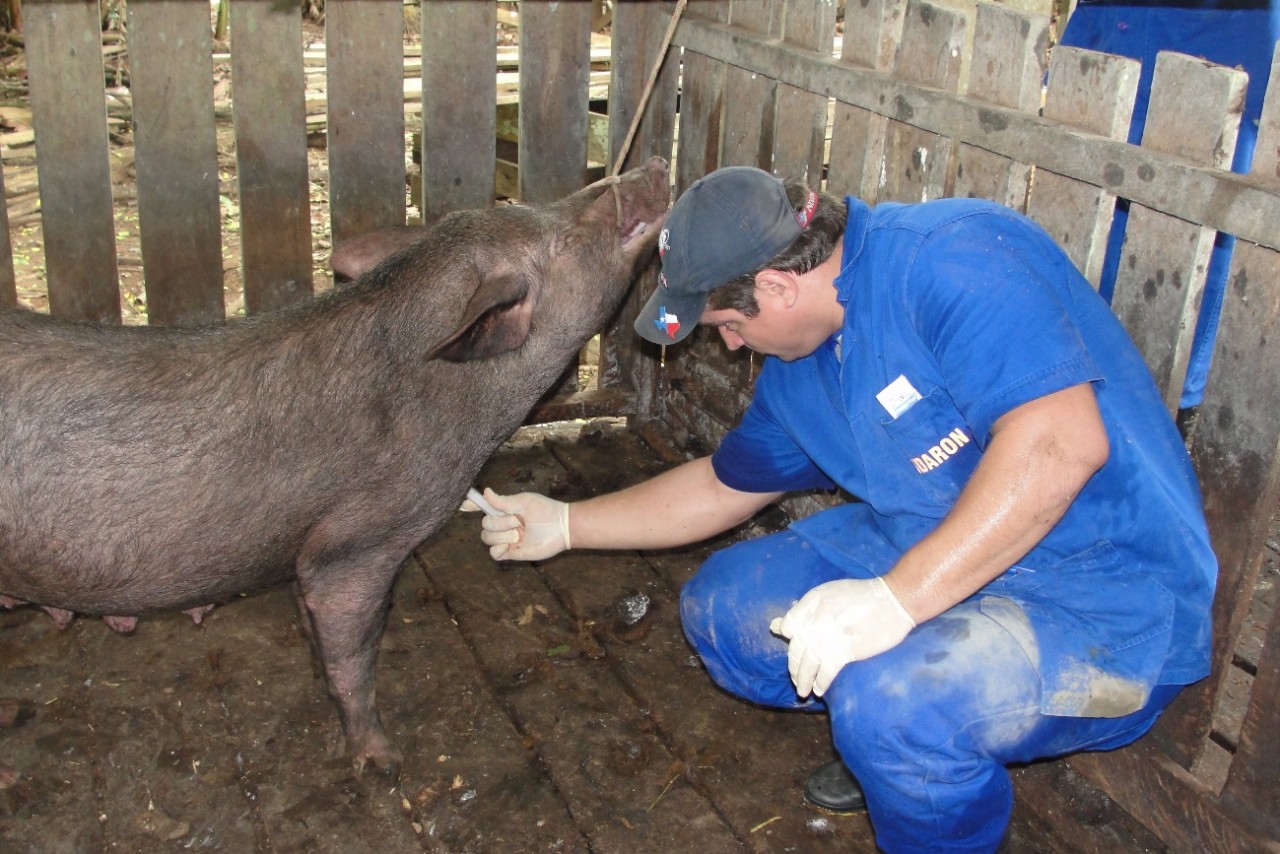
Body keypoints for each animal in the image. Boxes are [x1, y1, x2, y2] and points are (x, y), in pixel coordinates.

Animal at [0, 155, 675, 783]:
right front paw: (383, 761)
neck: (460, 407)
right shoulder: (358, 538)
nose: (654, 163)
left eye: (540, 206)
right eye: (558, 237)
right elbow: (352, 650)